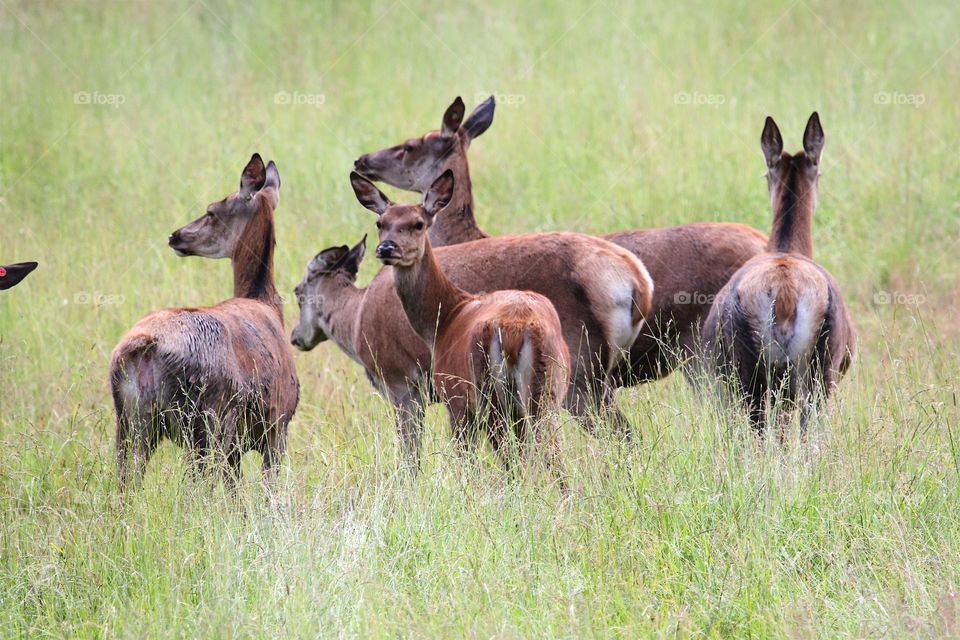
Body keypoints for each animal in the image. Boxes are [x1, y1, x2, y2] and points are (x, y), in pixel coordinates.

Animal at [109, 154, 299, 488]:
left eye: (211, 211)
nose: (174, 235)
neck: (267, 305)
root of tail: (144, 346)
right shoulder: (278, 421)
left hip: (130, 419)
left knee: (125, 480)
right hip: (205, 420)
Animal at [365, 169, 570, 473]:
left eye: (418, 224)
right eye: (381, 222)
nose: (387, 248)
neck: (446, 319)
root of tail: (515, 329)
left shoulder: (455, 398)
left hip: (488, 391)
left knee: (514, 455)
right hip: (547, 390)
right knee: (552, 454)